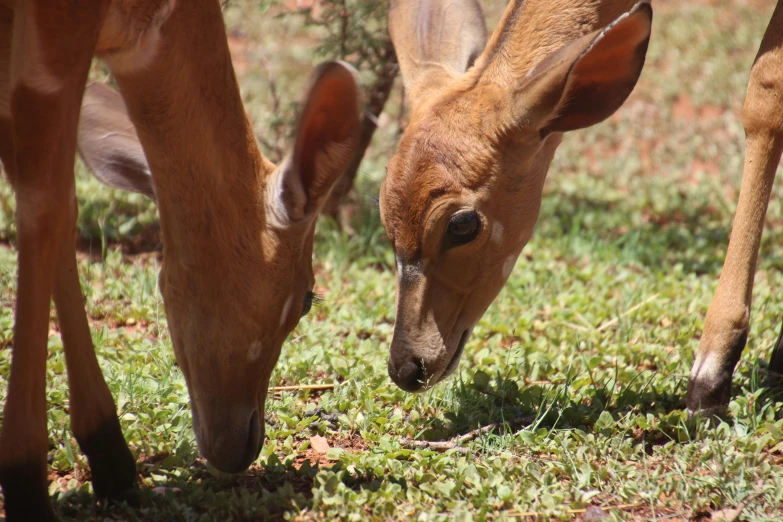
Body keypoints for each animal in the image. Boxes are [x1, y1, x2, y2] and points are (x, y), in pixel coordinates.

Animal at [0, 2, 362, 516]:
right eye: (307, 298)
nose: (244, 443)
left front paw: (111, 456)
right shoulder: (56, 33)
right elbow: (46, 201)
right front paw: (27, 483)